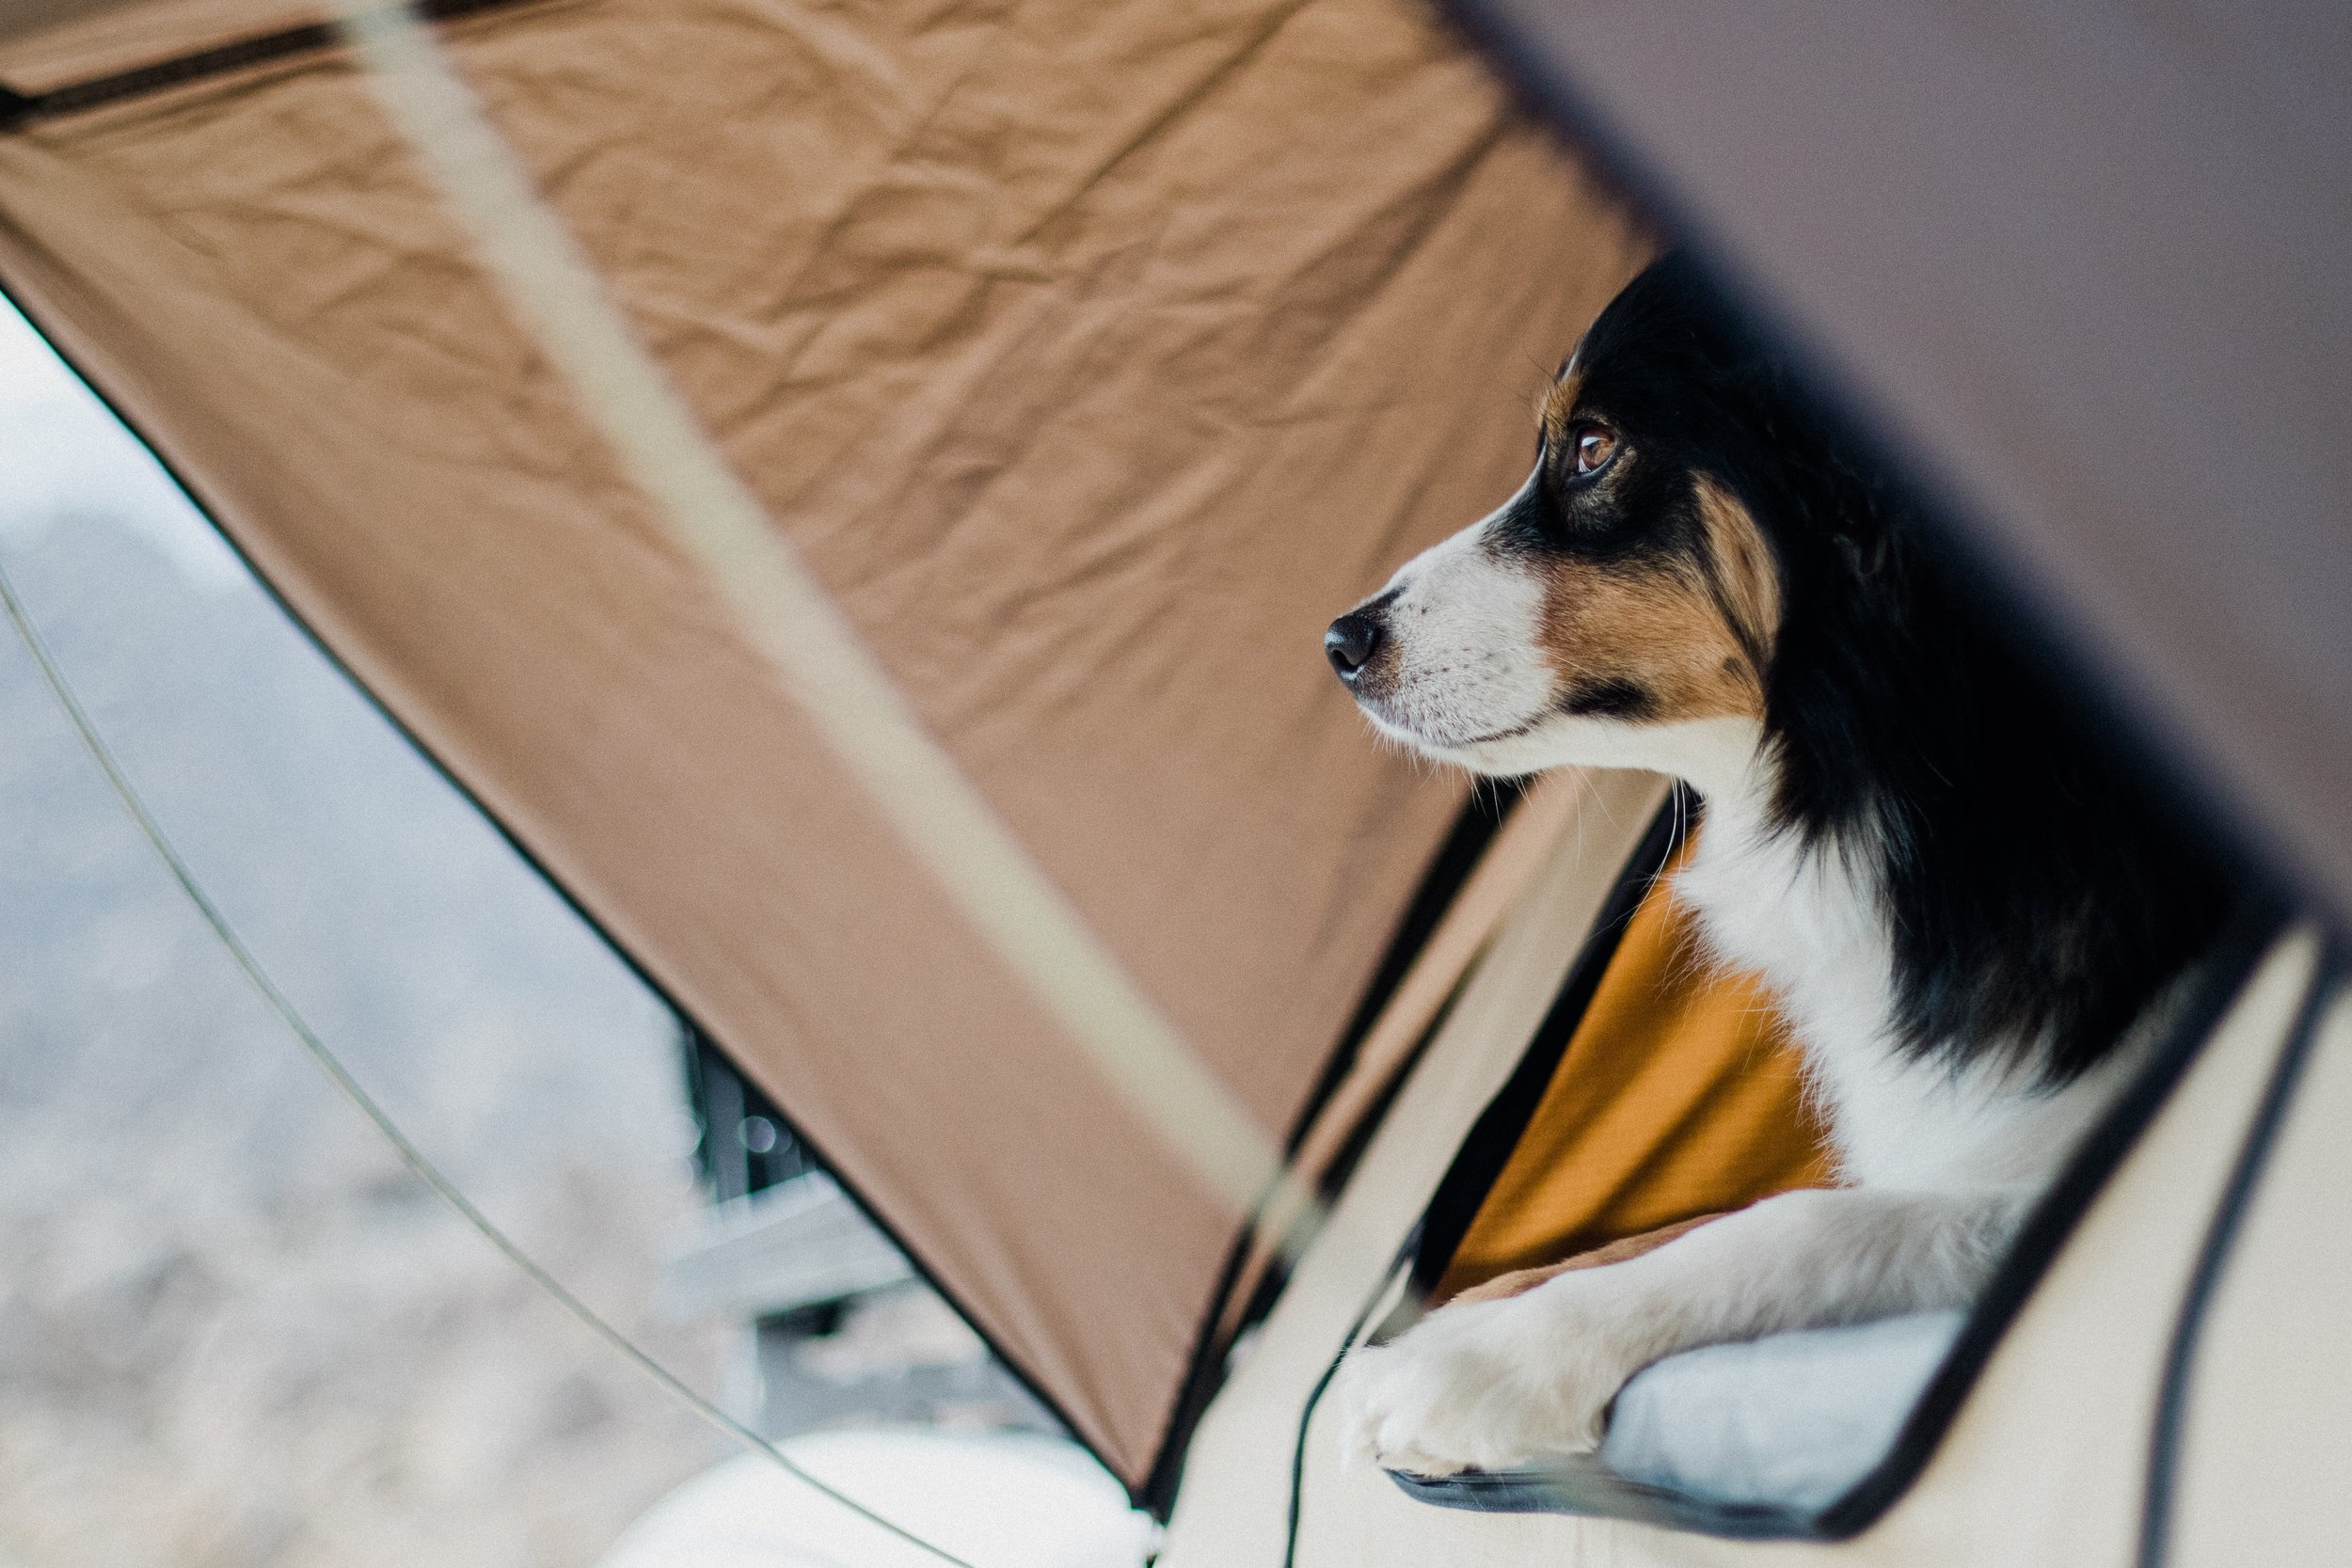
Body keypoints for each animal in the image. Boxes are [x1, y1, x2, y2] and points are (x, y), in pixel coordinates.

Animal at [1327, 257, 2220, 1485]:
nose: (1339, 641)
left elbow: (1799, 1221)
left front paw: (1485, 1361)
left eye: (1591, 447)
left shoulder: (2054, 1167)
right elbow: (1704, 1211)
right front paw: (1459, 1318)